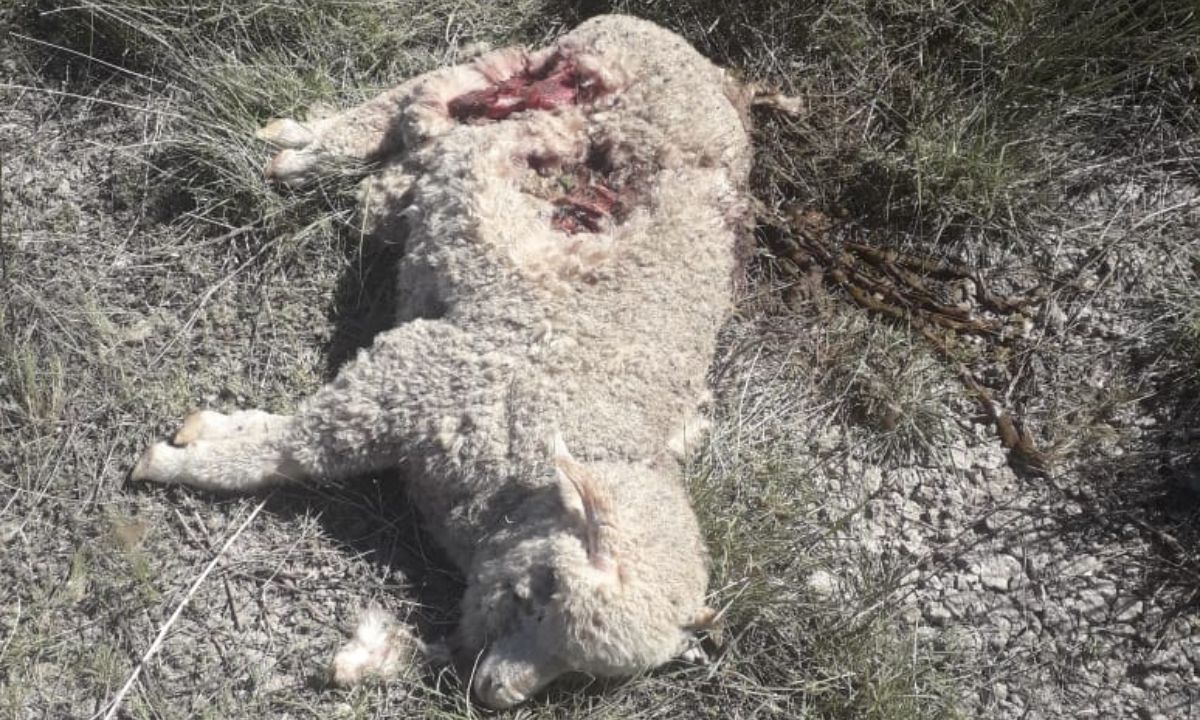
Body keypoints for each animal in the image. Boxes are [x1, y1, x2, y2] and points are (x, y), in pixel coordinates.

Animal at [132, 14, 754, 708]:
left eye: (579, 672)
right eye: (545, 591)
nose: (495, 693)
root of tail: (694, 56)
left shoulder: (408, 390)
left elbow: (283, 438)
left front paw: (209, 430)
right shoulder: (418, 374)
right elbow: (284, 454)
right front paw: (173, 465)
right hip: (529, 72)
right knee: (407, 97)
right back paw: (299, 149)